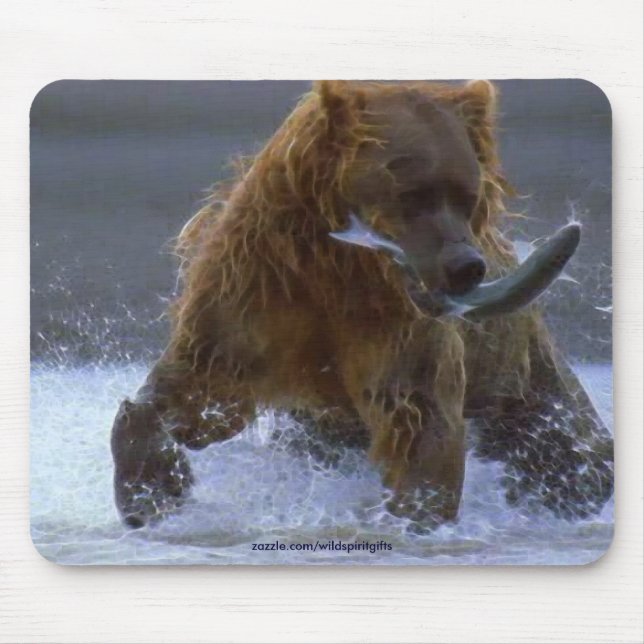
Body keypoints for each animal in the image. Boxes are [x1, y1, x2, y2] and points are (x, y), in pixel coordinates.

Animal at [111, 80, 613, 530]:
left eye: (467, 195)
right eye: (413, 192)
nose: (467, 267)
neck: (339, 270)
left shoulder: (397, 332)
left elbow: (419, 425)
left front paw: (413, 517)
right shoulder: (255, 295)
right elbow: (194, 394)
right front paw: (152, 491)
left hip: (531, 389)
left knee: (570, 458)